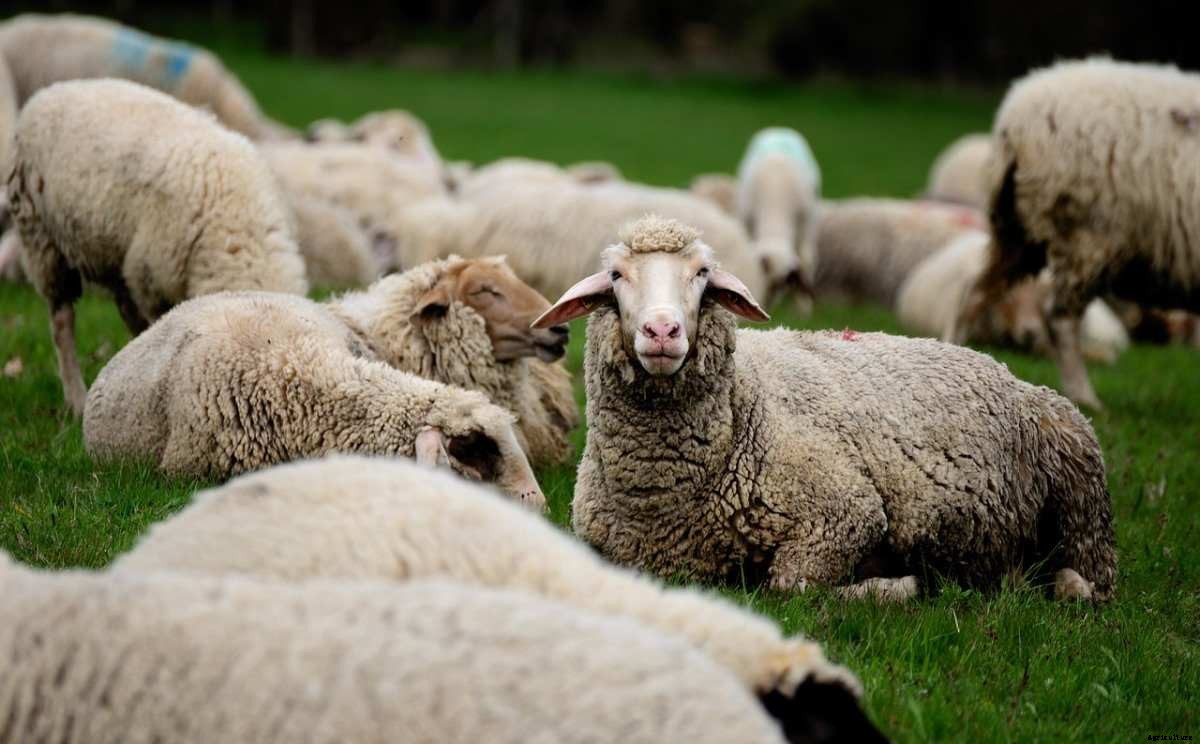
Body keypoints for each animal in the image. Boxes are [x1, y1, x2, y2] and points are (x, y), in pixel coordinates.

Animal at [9, 79, 307, 415]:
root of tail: (53, 90)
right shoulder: (153, 281)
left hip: (116, 255)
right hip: (41, 239)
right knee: (62, 322)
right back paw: (76, 399)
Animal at [736, 127, 822, 306]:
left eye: (783, 283)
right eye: (760, 276)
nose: (762, 305)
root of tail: (779, 129)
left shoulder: (808, 221)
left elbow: (807, 258)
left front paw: (804, 304)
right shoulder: (746, 219)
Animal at [954, 58, 1200, 409]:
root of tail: (1013, 124)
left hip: (1016, 234)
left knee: (973, 294)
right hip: (1086, 236)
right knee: (1061, 319)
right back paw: (1085, 397)